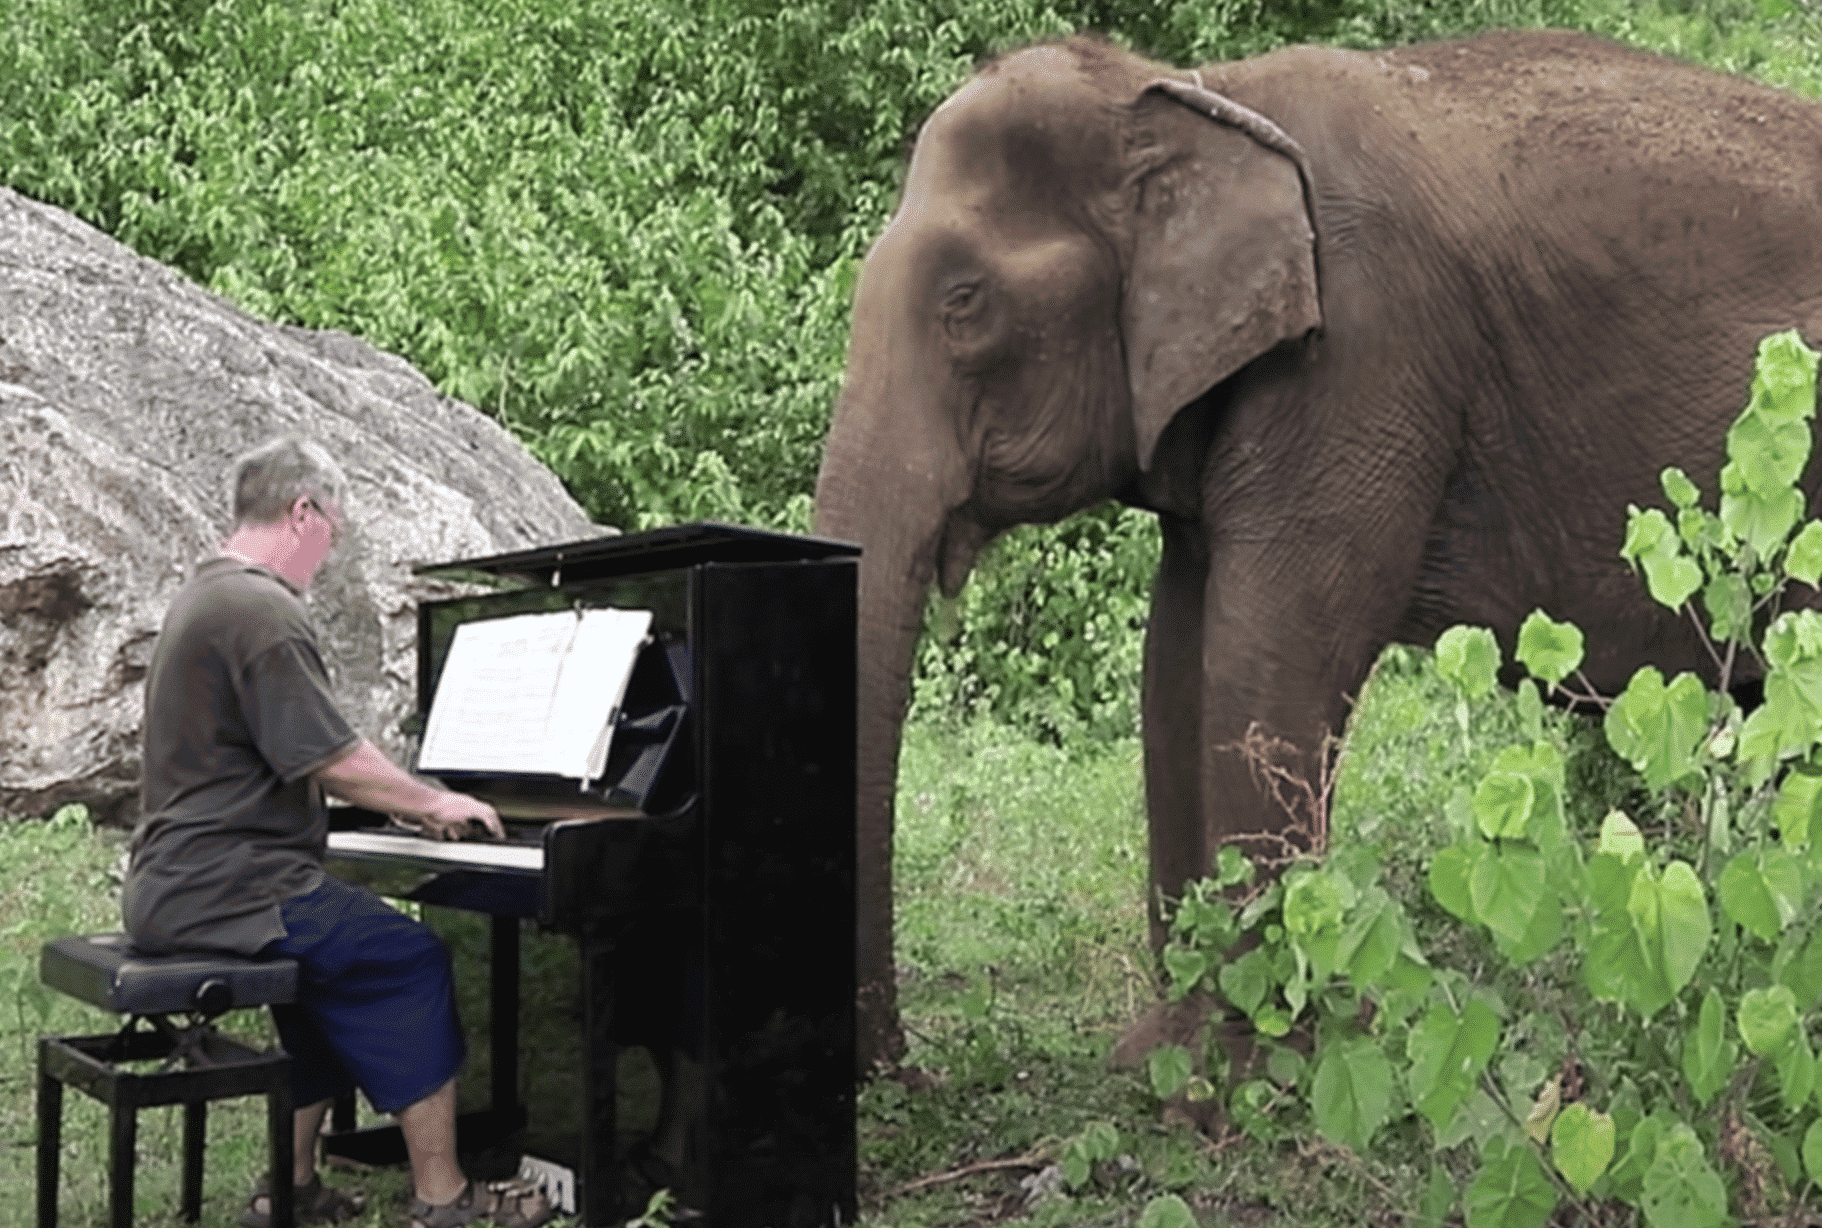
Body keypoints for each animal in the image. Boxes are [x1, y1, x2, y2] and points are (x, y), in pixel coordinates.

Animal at [813, 27, 1822, 1073]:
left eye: (965, 304)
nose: (902, 1068)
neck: (1193, 95)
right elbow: (1177, 657)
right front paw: (1164, 1055)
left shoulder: (1364, 354)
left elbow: (1271, 654)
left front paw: (1253, 1074)